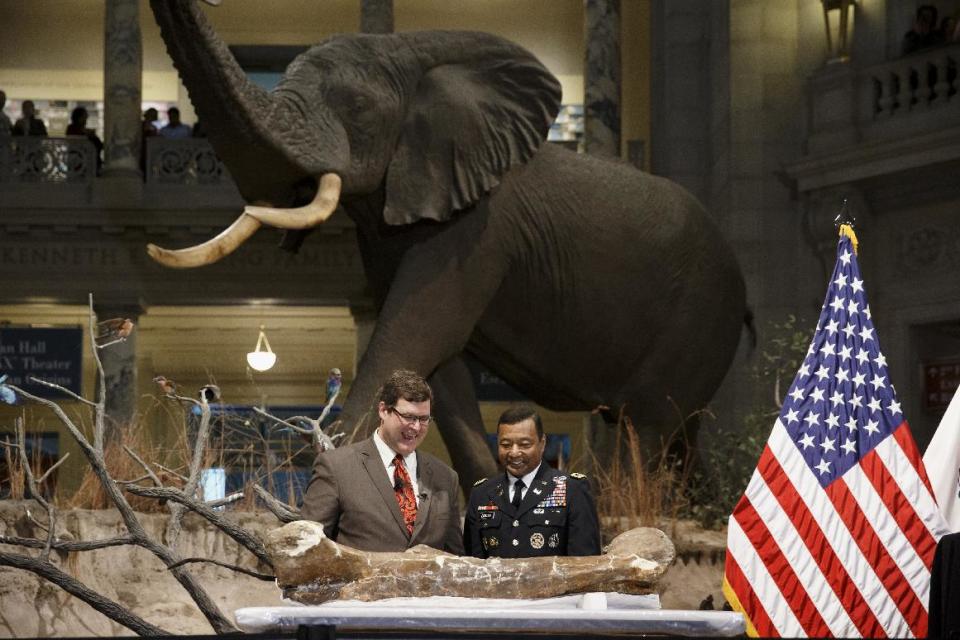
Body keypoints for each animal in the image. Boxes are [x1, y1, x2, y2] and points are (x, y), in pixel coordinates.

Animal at [150, 1, 752, 490]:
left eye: (358, 108)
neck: (414, 55)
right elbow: (440, 366)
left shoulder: (481, 225)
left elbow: (417, 330)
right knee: (678, 434)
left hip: (702, 315)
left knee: (646, 426)